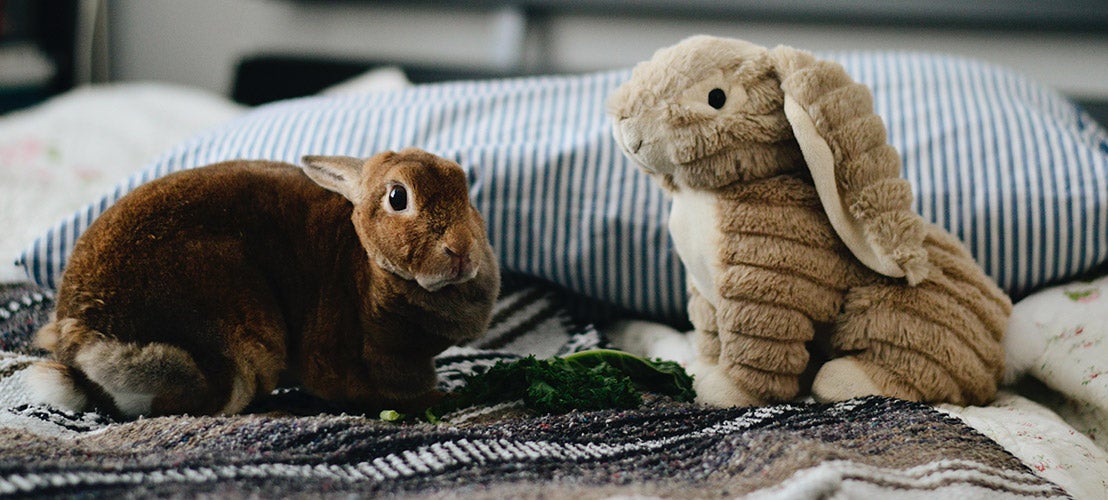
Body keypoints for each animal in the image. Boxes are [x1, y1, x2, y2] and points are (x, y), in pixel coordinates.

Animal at [23, 148, 500, 419]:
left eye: (465, 190)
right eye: (398, 197)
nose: (461, 251)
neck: (368, 263)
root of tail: (81, 338)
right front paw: (438, 400)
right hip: (239, 335)